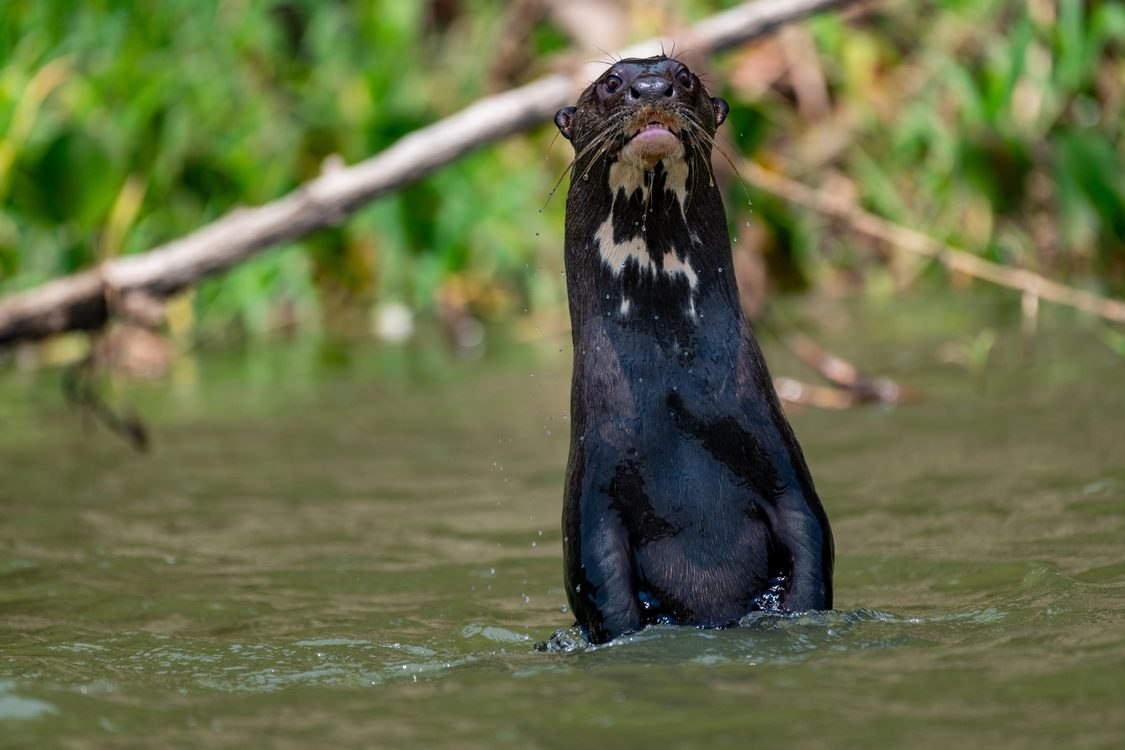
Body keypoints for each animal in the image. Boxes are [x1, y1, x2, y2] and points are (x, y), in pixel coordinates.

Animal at [553, 55, 833, 645]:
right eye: (610, 82)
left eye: (682, 74)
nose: (652, 86)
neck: (670, 382)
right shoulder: (594, 483)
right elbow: (600, 581)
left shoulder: (773, 449)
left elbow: (811, 536)